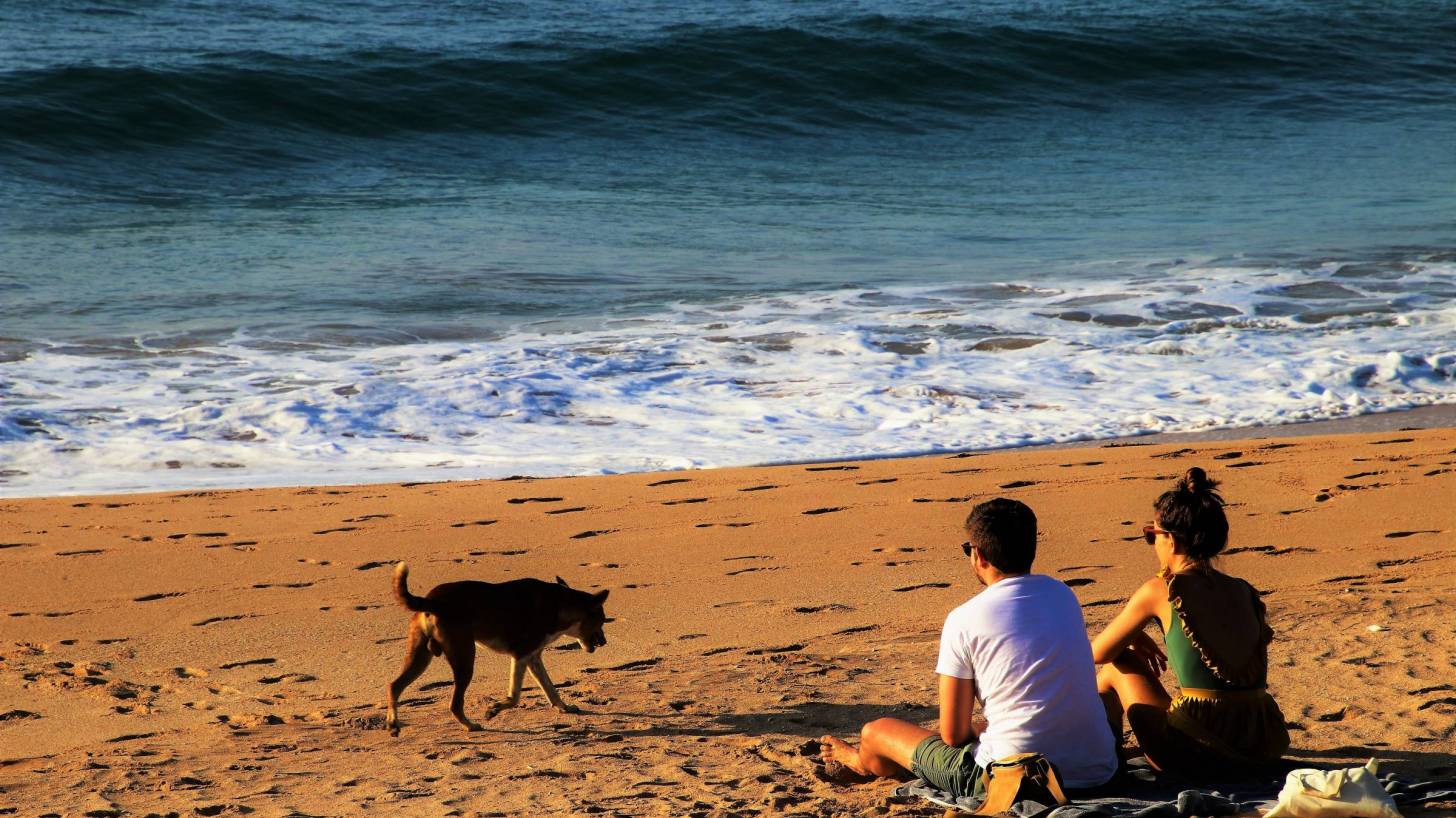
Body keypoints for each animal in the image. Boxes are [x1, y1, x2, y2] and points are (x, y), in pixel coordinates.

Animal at [384, 558, 605, 733]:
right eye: (602, 621)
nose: (604, 642)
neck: (559, 603)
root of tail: (432, 601)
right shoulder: (520, 655)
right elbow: (514, 697)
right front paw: (494, 709)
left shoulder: (532, 658)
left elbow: (550, 688)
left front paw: (564, 707)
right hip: (465, 660)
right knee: (455, 704)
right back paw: (471, 726)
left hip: (420, 657)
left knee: (394, 686)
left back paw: (393, 724)